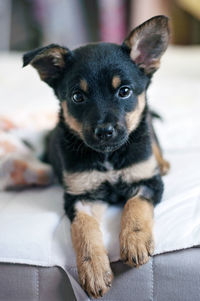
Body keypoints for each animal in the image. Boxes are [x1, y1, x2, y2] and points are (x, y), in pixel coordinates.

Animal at [23, 15, 170, 298]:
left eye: (124, 91)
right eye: (77, 96)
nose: (104, 132)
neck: (109, 157)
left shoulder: (148, 182)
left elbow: (135, 206)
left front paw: (134, 241)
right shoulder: (81, 199)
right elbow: (84, 232)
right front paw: (93, 270)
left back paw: (163, 161)